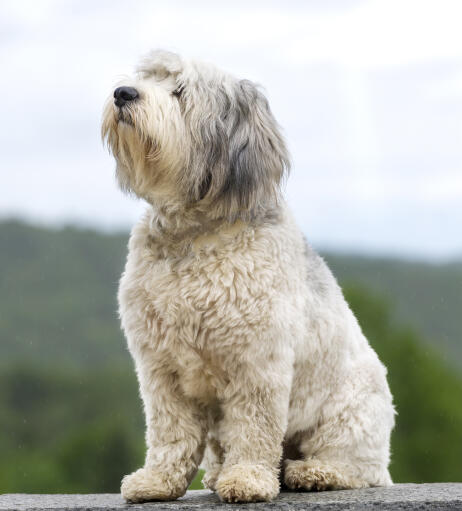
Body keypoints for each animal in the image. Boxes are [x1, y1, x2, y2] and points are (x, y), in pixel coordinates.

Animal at [100, 49, 394, 504]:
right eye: (145, 77)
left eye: (180, 92)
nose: (123, 93)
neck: (194, 234)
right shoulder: (161, 369)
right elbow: (172, 433)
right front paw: (158, 481)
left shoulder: (257, 363)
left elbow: (254, 429)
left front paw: (248, 479)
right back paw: (220, 474)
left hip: (350, 414)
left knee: (357, 469)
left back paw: (310, 472)